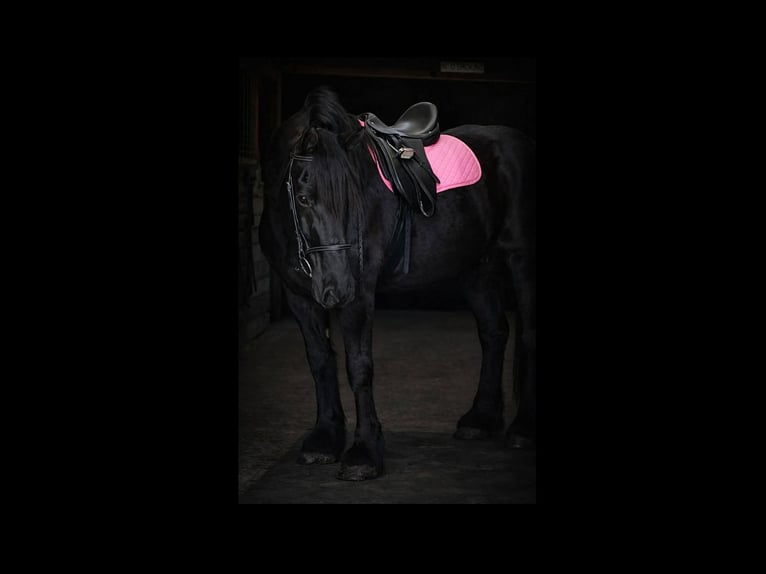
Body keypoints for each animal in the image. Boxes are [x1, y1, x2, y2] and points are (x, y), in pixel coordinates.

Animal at [259, 87, 535, 481]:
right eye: (303, 198)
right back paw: (481, 419)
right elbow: (320, 360)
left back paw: (523, 428)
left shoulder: (360, 295)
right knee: (494, 332)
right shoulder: (299, 296)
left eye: (353, 198)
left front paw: (364, 453)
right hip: (475, 269)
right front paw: (324, 439)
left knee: (528, 334)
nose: (338, 288)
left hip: (521, 258)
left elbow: (359, 367)